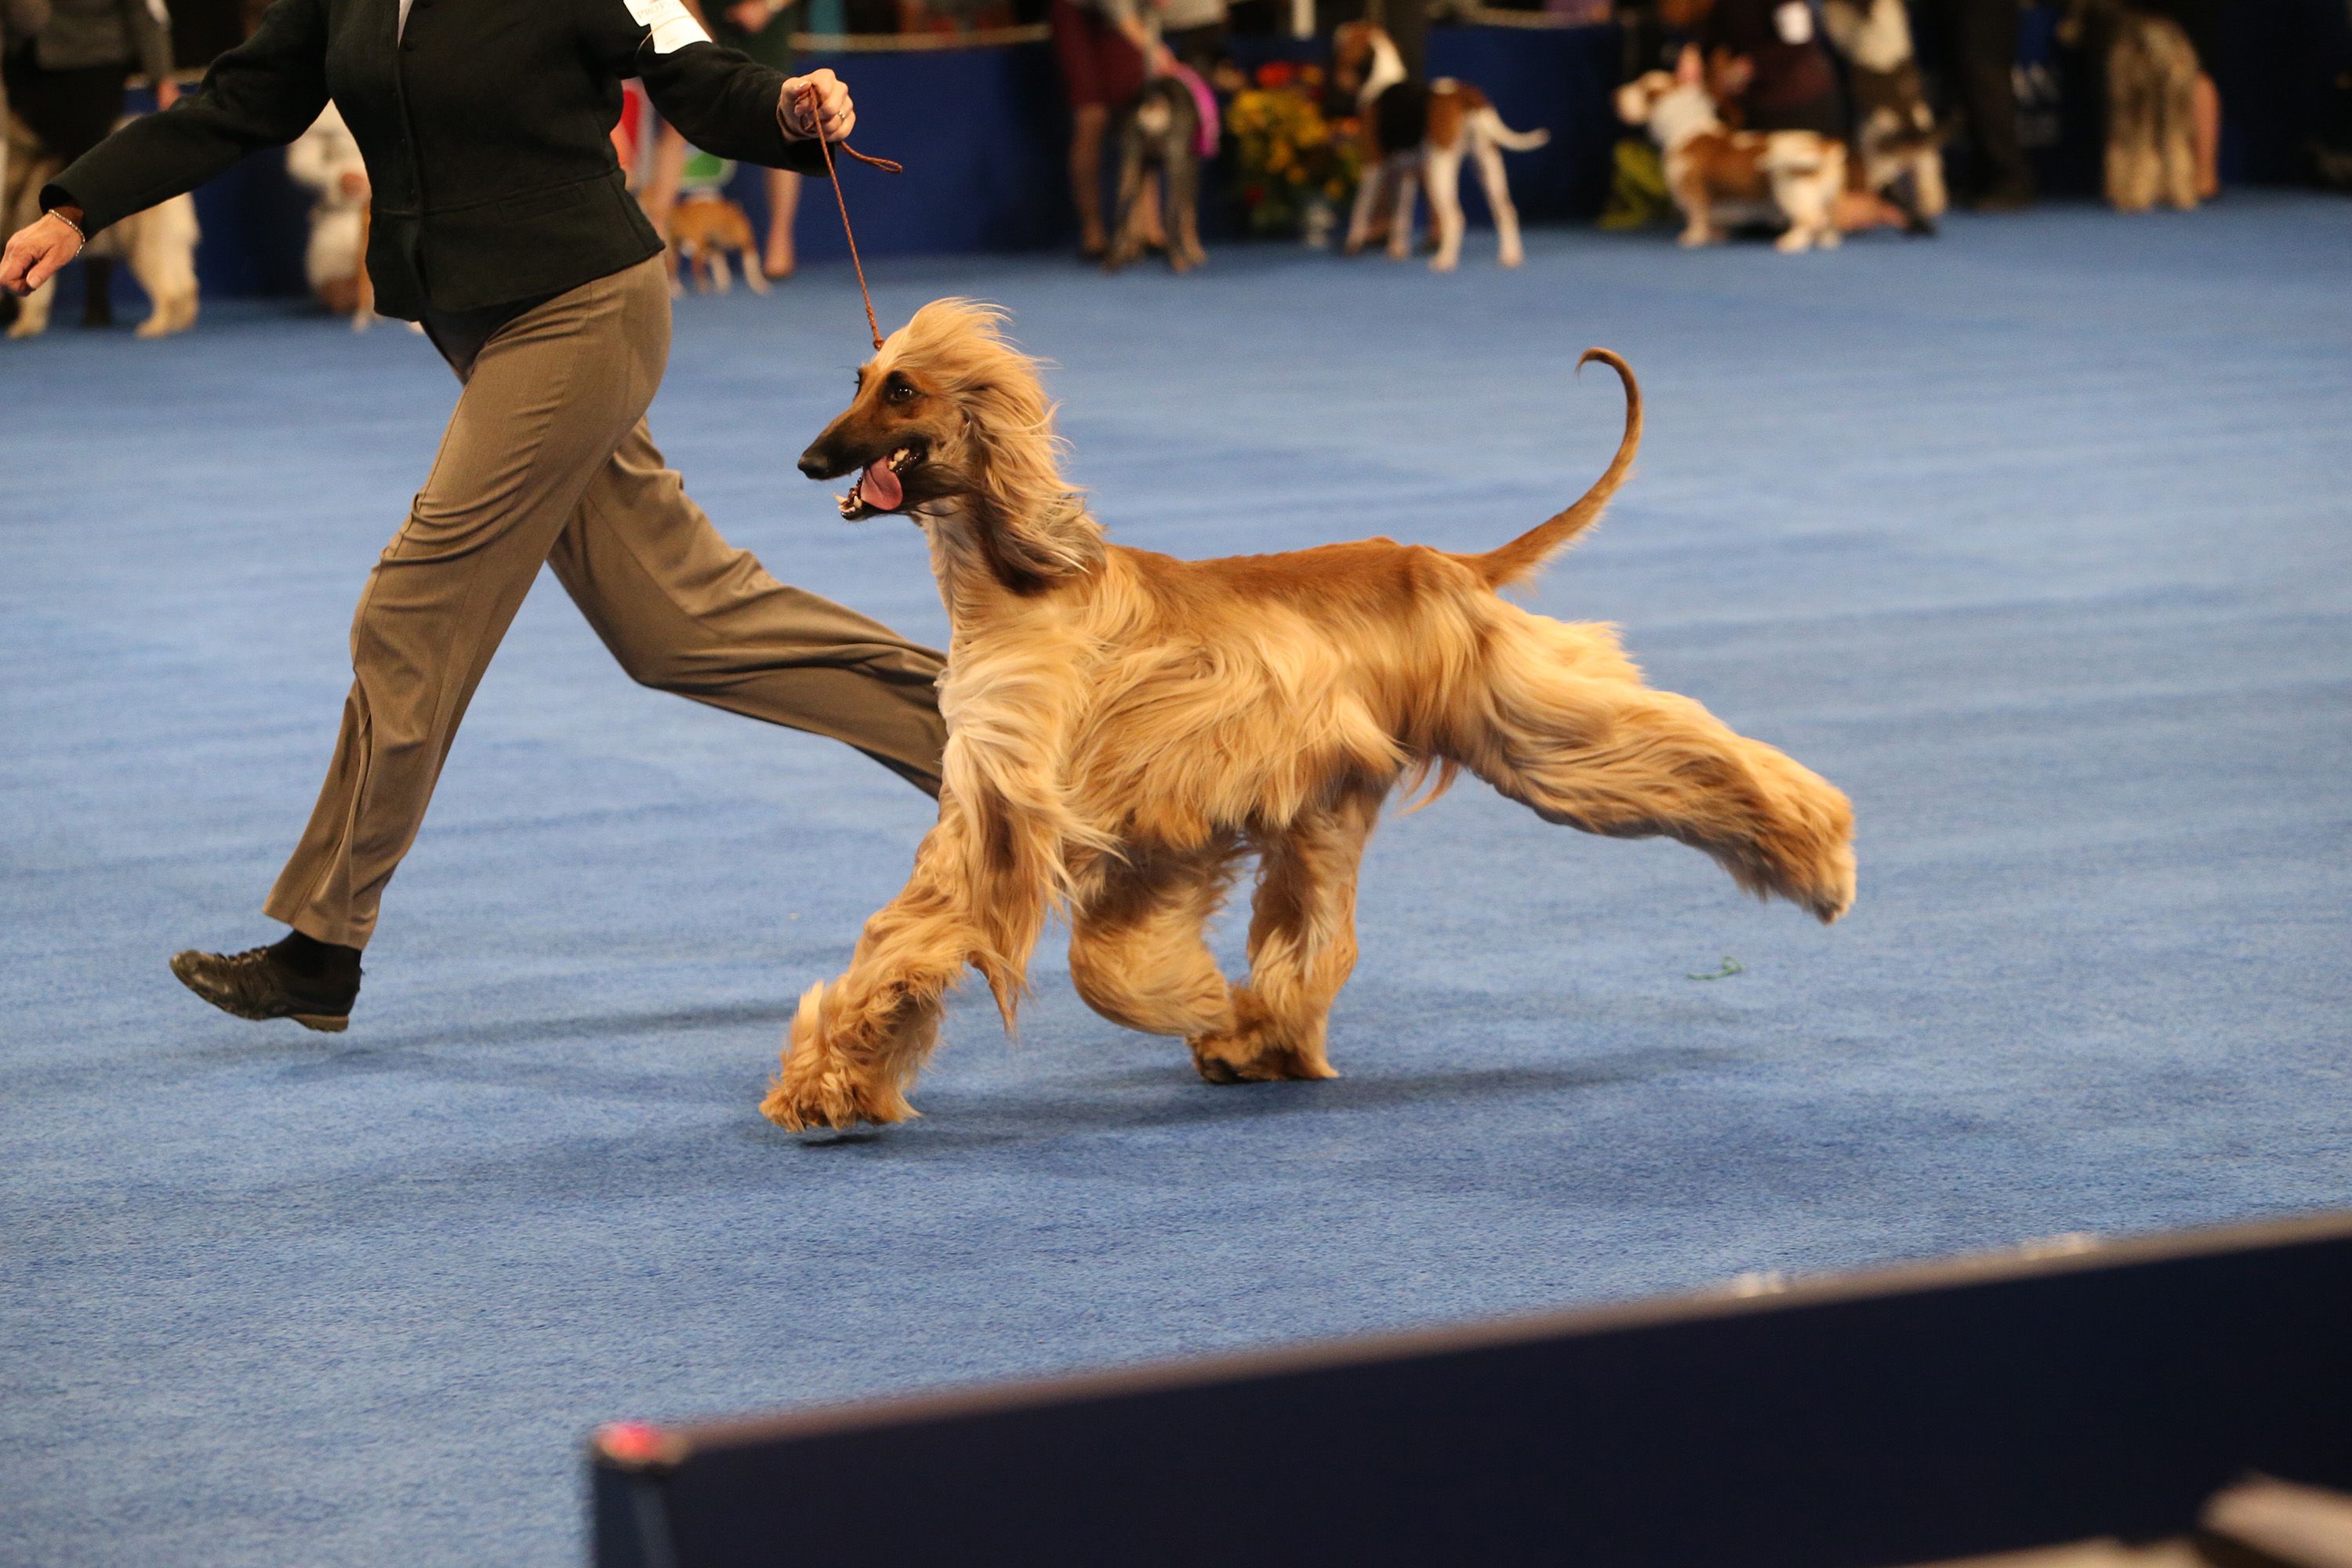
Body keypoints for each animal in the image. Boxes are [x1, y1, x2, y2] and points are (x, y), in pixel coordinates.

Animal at [776, 297, 1853, 1128]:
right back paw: (1266, 1042)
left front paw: (1196, 1000)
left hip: (1513, 721)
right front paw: (830, 1085)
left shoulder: (1069, 806)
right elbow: (938, 935)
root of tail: (1446, 563)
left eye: (902, 390)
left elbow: (1043, 952)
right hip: (1332, 800)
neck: (1019, 586)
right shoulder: (1071, 811)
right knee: (1321, 934)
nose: (808, 459)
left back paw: (1824, 853)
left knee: (1673, 748)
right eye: (858, 376)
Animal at [1336, 23, 1552, 272]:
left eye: (1349, 34)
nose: (1338, 31)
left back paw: (1445, 260)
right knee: (1506, 211)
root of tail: (1466, 92)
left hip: (1439, 168)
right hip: (1487, 162)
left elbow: (1360, 209)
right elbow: (1401, 215)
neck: (1381, 82)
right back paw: (1510, 256)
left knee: (1455, 217)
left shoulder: (1374, 165)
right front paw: (1397, 251)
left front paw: (1351, 245)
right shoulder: (1406, 173)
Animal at [1618, 54, 1853, 255]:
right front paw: (1716, 236)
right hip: (1826, 198)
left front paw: (1693, 238)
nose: (1616, 96)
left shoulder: (1694, 194)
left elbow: (1697, 218)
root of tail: (1824, 146)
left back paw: (1791, 242)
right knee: (1828, 222)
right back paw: (1827, 241)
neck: (1685, 128)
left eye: (1642, 88)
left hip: (1792, 193)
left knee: (1812, 220)